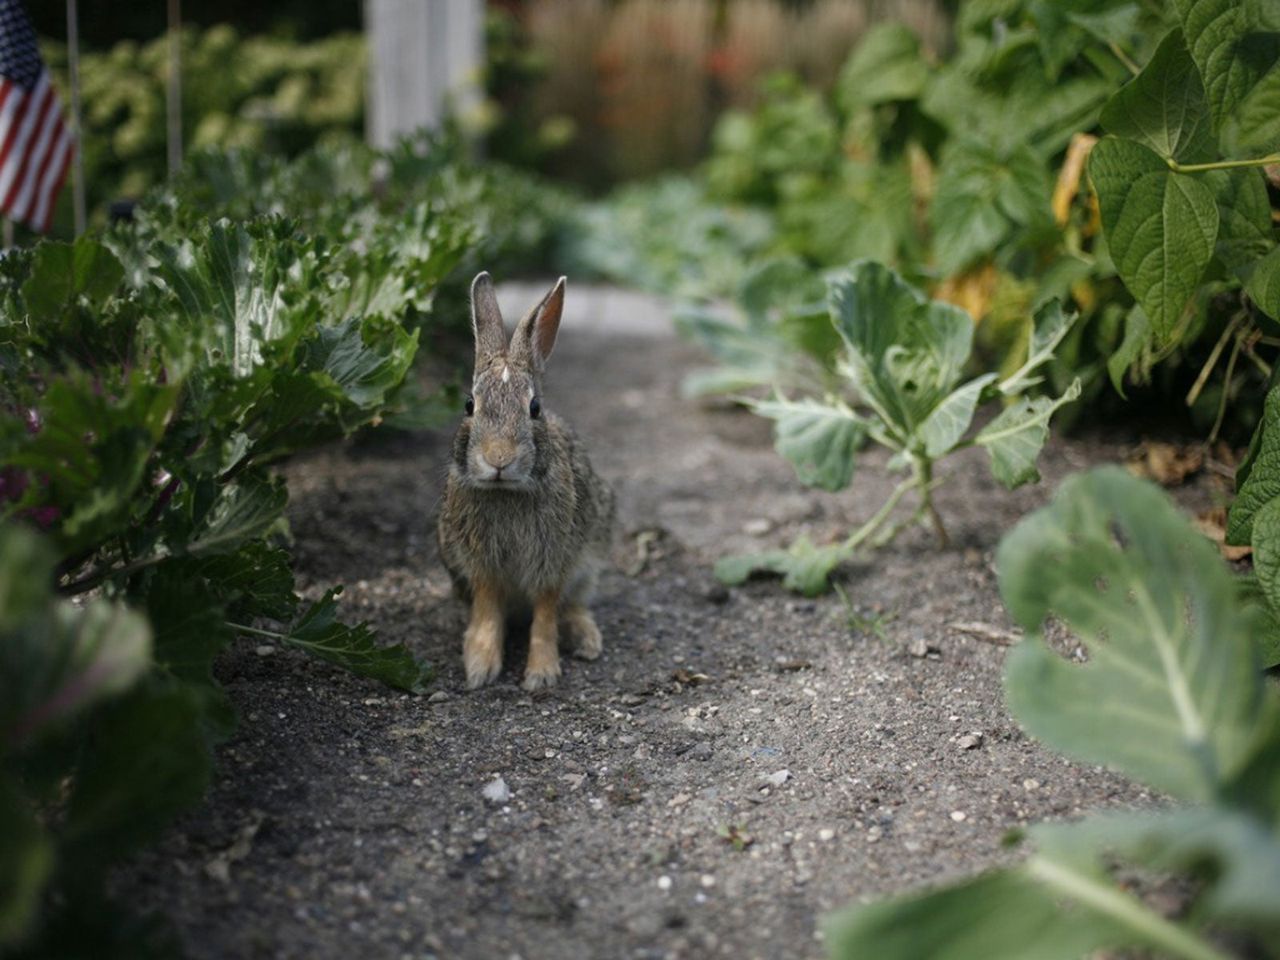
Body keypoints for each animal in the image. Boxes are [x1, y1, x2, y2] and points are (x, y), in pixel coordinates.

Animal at [437, 272, 616, 691]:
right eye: (469, 405)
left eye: (534, 408)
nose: (498, 459)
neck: (507, 491)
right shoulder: (481, 565)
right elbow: (489, 609)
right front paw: (480, 667)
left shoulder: (554, 559)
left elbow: (546, 612)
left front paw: (542, 674)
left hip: (591, 560)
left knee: (574, 604)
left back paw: (586, 640)